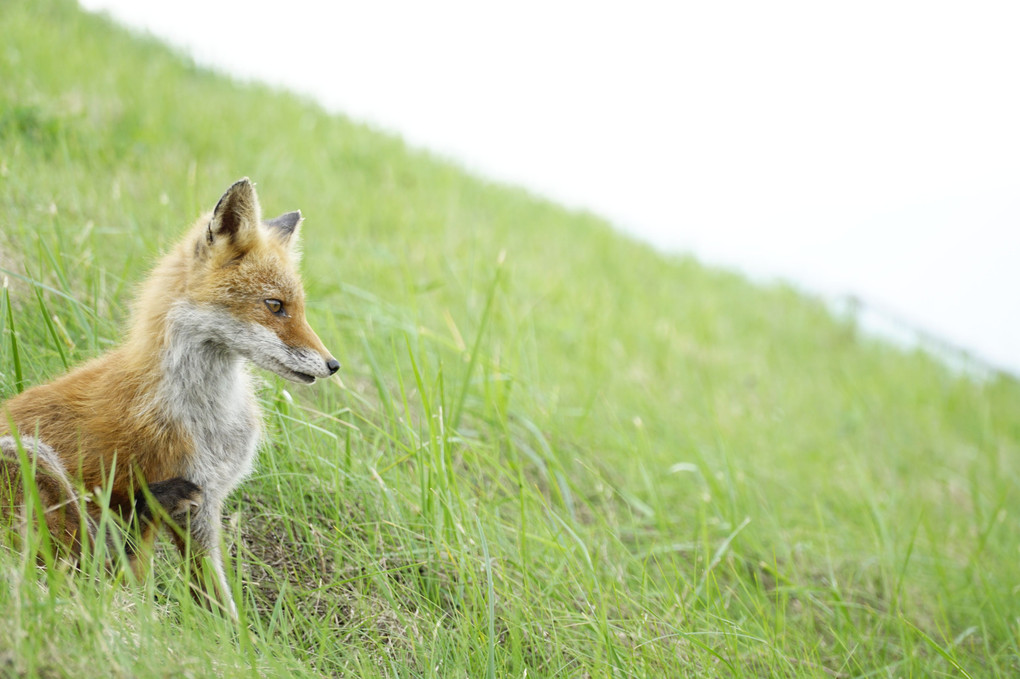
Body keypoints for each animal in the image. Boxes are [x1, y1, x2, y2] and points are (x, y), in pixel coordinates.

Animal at [0, 177, 338, 615]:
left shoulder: (207, 504)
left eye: (298, 308)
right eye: (275, 305)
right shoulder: (191, 492)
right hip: (28, 457)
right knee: (82, 571)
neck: (208, 418)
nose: (333, 365)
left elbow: (215, 600)